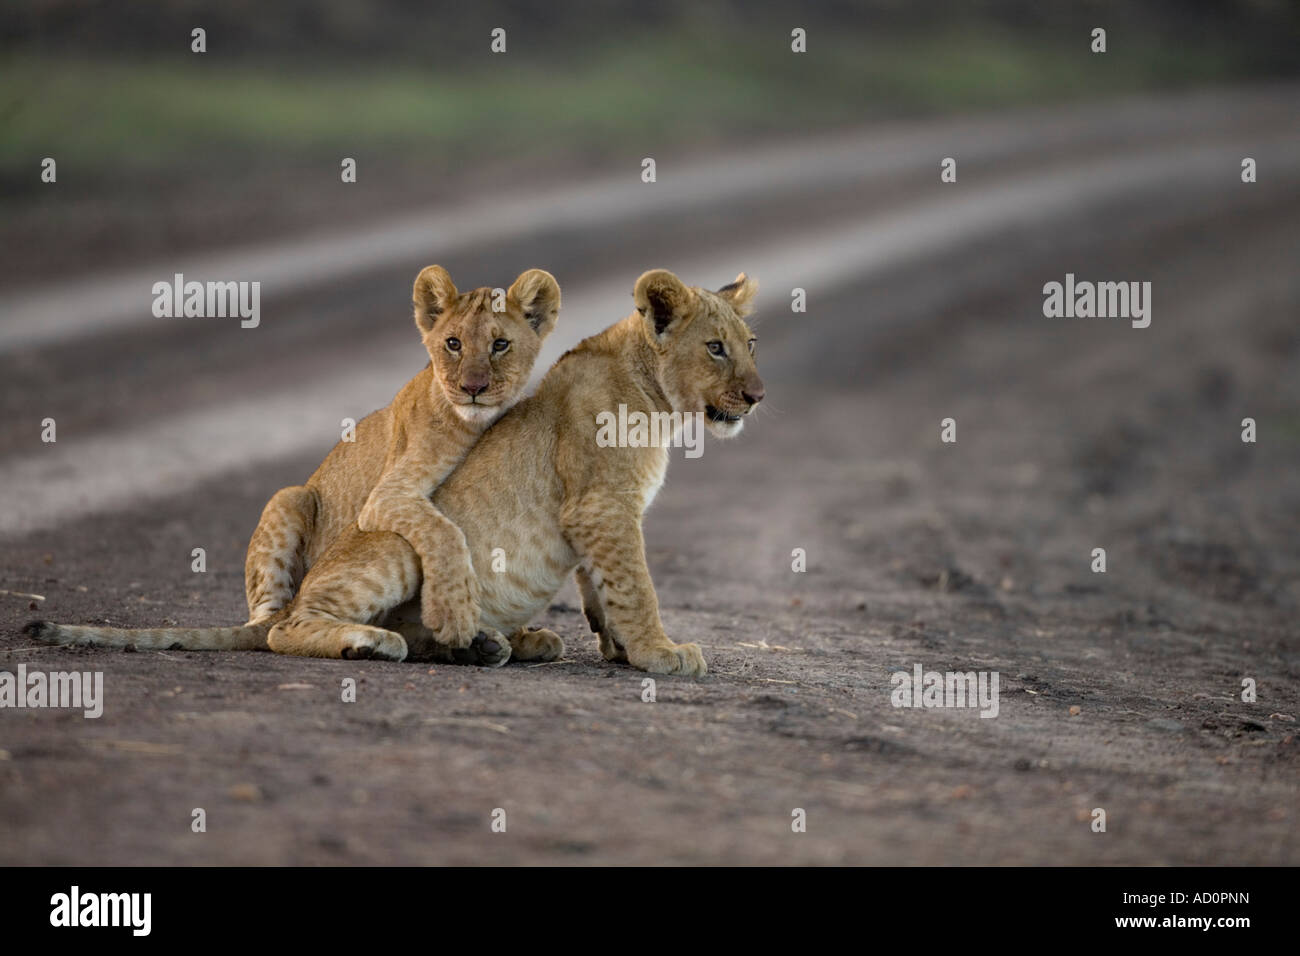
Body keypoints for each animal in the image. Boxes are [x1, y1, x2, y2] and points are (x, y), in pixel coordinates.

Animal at [25, 265, 561, 662]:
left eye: (500, 344)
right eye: (453, 343)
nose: (473, 387)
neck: (477, 424)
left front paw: (490, 628)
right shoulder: (386, 497)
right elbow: (445, 533)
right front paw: (456, 612)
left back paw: (504, 643)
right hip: (289, 500)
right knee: (272, 629)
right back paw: (375, 641)